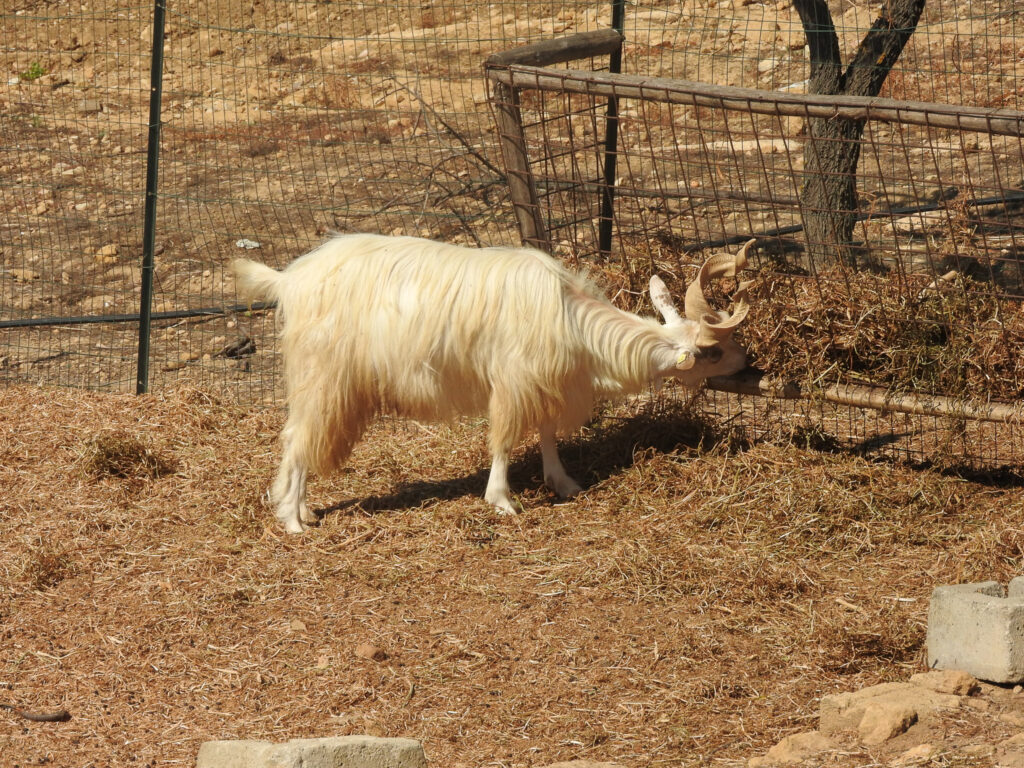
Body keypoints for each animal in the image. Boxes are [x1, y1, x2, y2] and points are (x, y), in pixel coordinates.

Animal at [235, 234, 757, 536]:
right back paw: (293, 520)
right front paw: (502, 501)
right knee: (299, 438)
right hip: (322, 374)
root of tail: (287, 281)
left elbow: (546, 433)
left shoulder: (544, 381)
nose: (748, 361)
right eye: (712, 353)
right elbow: (504, 440)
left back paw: (295, 507)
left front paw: (563, 483)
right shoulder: (513, 379)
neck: (571, 321)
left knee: (296, 437)